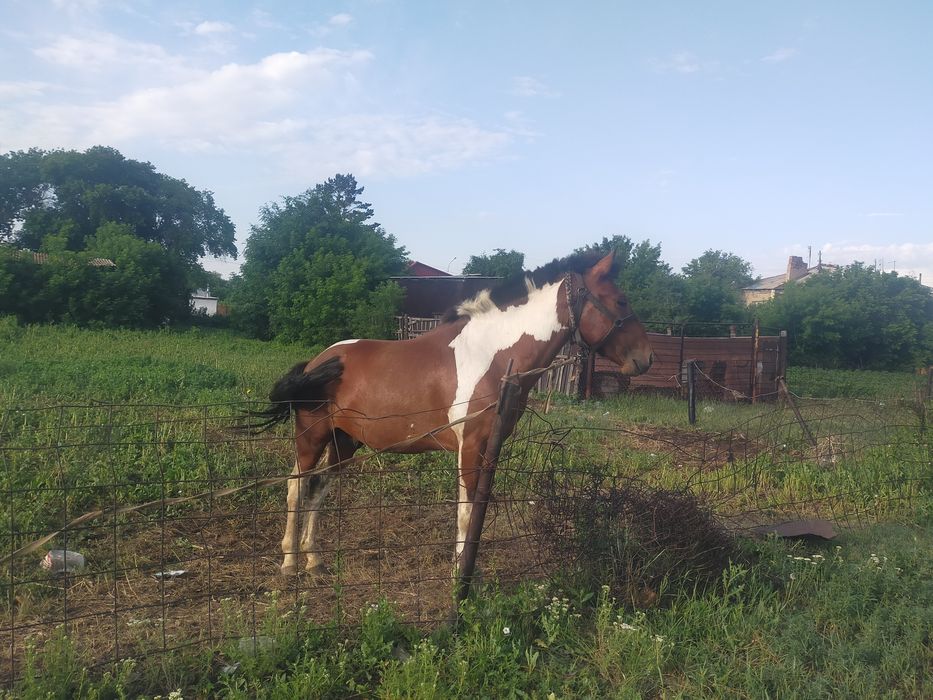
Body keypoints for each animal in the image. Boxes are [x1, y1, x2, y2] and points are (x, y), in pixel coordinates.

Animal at [251, 250, 654, 576]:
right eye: (620, 301)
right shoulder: (469, 447)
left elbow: (479, 511)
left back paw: (314, 561)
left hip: (345, 442)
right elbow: (465, 511)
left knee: (318, 488)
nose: (646, 358)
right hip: (312, 436)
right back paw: (289, 564)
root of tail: (318, 361)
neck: (492, 356)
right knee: (295, 486)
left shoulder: (492, 448)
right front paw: (459, 575)